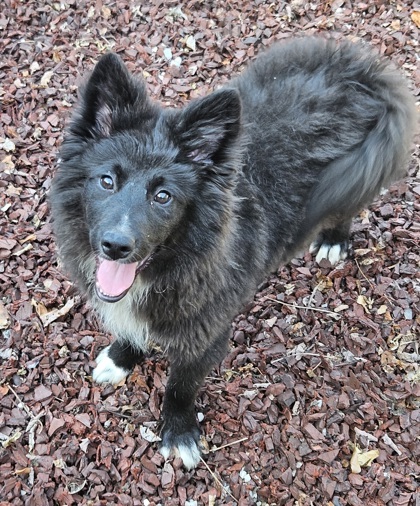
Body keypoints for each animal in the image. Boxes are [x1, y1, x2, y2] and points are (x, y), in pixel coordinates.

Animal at [50, 37, 416, 468]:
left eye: (163, 196)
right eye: (106, 180)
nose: (115, 245)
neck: (178, 263)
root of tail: (360, 68)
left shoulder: (206, 336)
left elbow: (180, 386)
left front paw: (179, 432)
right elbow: (130, 331)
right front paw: (122, 358)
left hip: (358, 172)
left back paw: (333, 240)